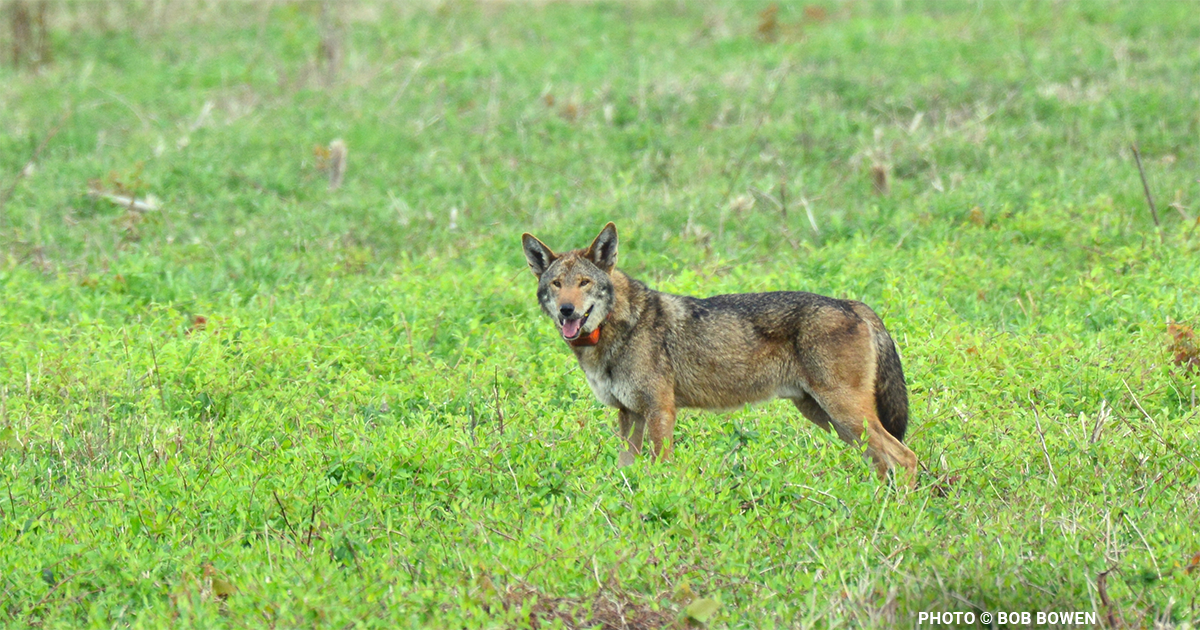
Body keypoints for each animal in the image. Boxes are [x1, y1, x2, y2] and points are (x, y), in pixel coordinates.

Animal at [521, 223, 918, 484]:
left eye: (584, 283)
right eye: (556, 284)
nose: (567, 311)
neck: (617, 330)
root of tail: (853, 304)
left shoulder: (660, 411)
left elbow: (661, 470)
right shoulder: (629, 415)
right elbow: (626, 471)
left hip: (844, 414)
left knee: (904, 457)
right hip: (830, 418)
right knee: (883, 462)